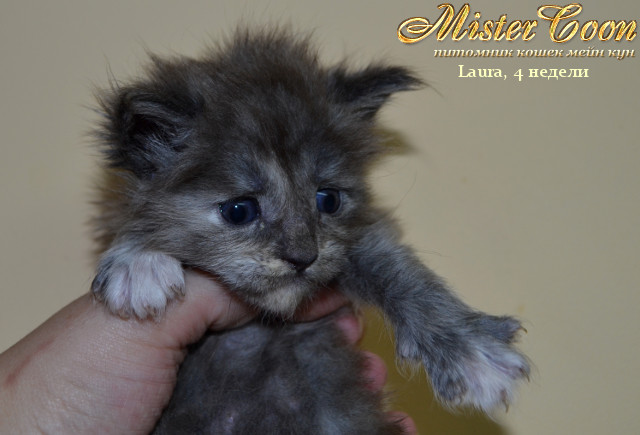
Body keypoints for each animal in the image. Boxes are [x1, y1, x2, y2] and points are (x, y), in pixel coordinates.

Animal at [91, 28, 530, 434]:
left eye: (328, 200)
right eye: (240, 210)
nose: (303, 258)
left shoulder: (358, 235)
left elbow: (395, 268)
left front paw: (470, 351)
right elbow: (125, 220)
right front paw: (138, 261)